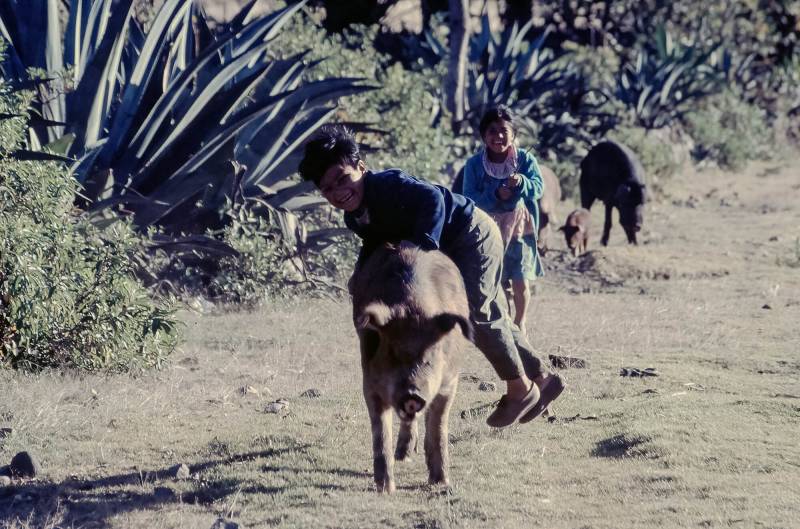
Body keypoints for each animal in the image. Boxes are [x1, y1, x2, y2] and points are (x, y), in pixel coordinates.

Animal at [348, 242, 472, 490]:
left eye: (429, 359)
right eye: (392, 354)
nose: (412, 394)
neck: (415, 307)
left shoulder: (450, 381)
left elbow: (438, 428)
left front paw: (441, 483)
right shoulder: (370, 383)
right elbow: (381, 433)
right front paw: (386, 489)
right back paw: (402, 456)